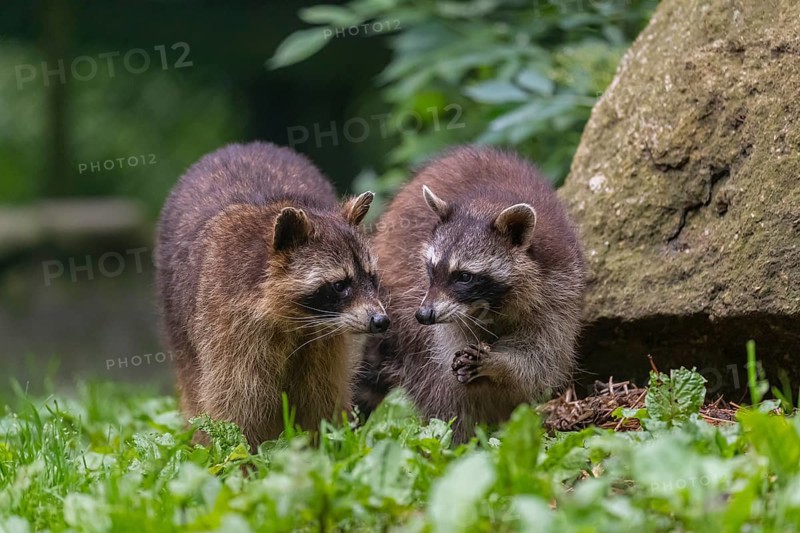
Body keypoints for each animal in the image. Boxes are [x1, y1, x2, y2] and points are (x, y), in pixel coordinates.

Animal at [156, 142, 389, 447]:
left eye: (371, 277)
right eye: (340, 285)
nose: (380, 321)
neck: (298, 322)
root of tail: (244, 146)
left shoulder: (326, 341)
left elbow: (323, 394)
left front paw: (325, 444)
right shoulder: (228, 322)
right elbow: (236, 400)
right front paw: (241, 454)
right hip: (177, 313)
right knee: (194, 384)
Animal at [361, 145, 585, 441]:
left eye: (464, 276)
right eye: (432, 269)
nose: (424, 315)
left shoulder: (558, 290)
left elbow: (540, 360)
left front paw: (501, 363)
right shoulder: (432, 307)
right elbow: (446, 370)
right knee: (430, 376)